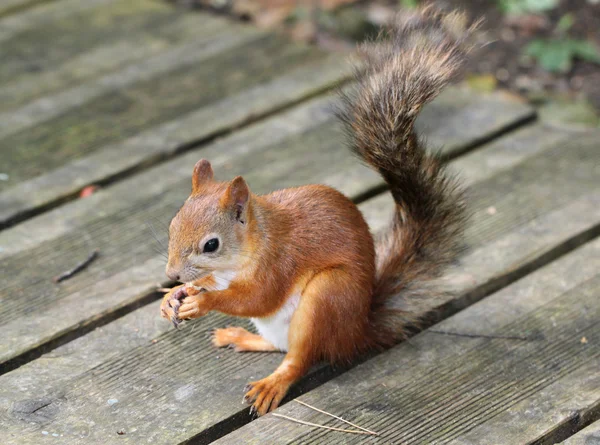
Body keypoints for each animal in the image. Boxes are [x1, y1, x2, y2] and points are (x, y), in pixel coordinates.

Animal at [159, 6, 474, 416]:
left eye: (211, 244)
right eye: (172, 225)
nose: (171, 274)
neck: (251, 246)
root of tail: (355, 333)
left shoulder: (280, 264)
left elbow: (256, 298)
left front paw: (202, 301)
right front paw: (174, 296)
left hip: (325, 299)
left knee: (299, 357)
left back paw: (272, 384)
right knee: (279, 346)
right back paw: (239, 336)